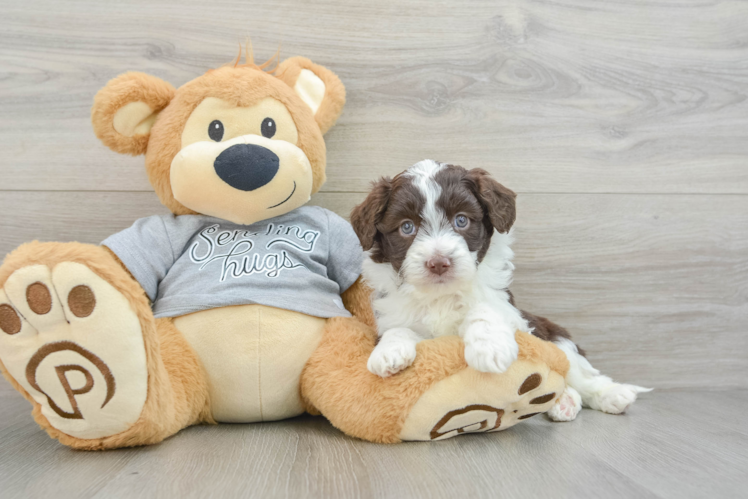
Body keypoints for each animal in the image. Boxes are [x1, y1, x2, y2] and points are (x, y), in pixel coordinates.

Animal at [350, 161, 648, 422]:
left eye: (461, 221)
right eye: (406, 227)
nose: (438, 263)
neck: (441, 295)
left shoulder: (511, 312)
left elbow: (485, 307)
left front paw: (489, 347)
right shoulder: (392, 312)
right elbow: (397, 328)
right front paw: (389, 352)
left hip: (557, 339)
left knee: (580, 374)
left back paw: (612, 394)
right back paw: (564, 402)